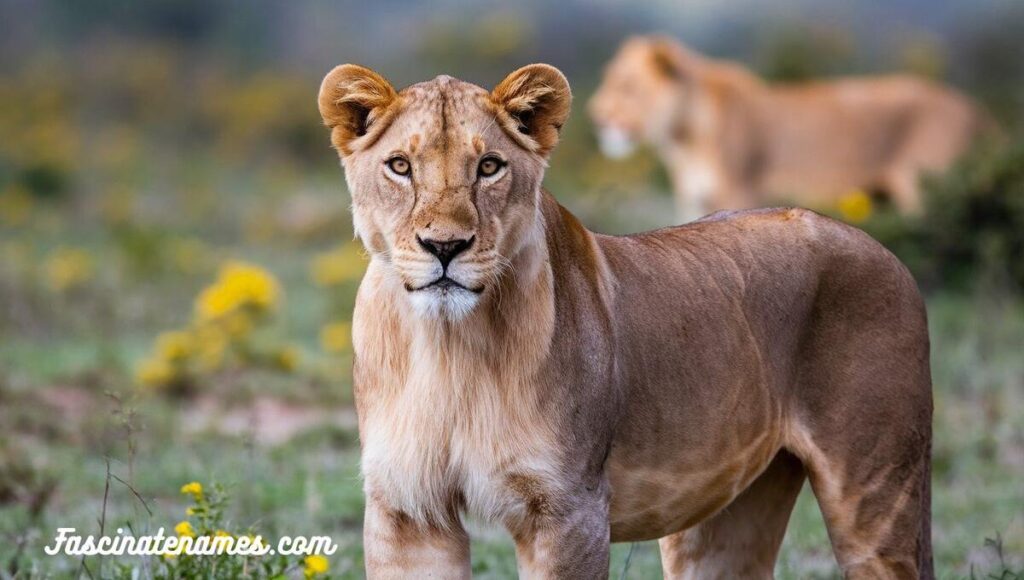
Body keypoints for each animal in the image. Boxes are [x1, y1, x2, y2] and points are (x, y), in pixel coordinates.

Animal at [318, 62, 934, 578]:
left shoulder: (568, 510)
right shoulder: (407, 510)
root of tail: (884, 249)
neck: (447, 345)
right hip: (725, 512)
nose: (445, 246)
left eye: (489, 166)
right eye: (400, 166)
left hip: (877, 494)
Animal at [589, 35, 988, 222]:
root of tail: (971, 108)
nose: (595, 114)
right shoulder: (692, 201)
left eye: (625, 85)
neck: (682, 139)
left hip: (926, 190)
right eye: (607, 79)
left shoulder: (743, 192)